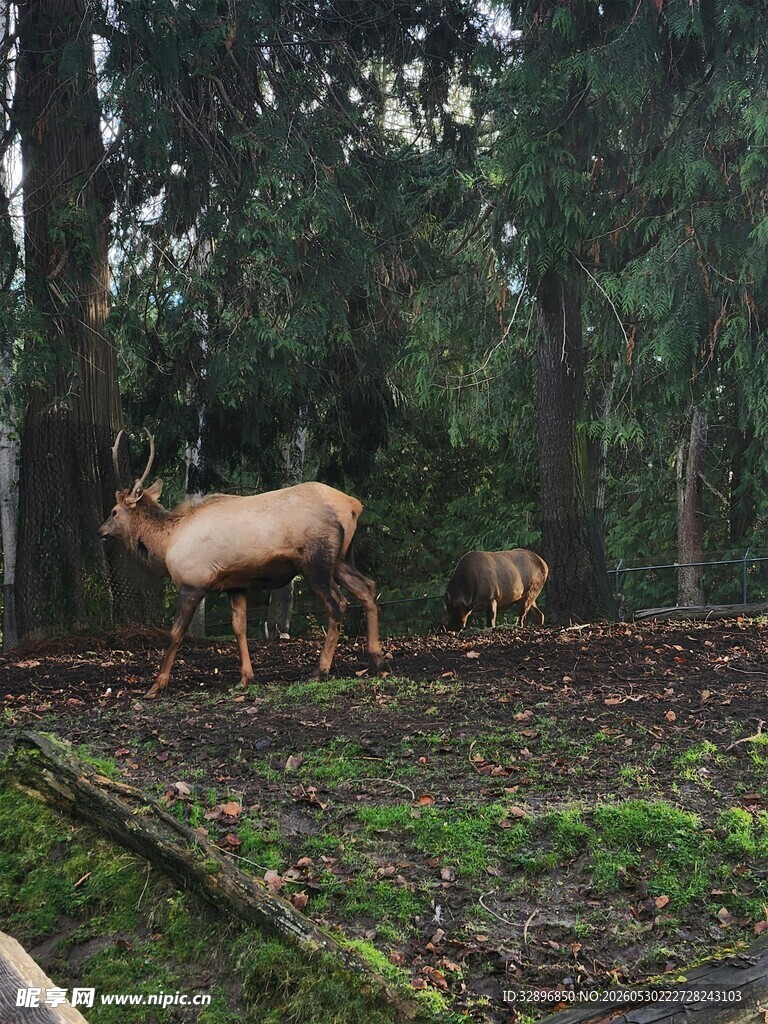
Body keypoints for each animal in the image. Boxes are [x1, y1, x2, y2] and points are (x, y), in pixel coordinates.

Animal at [99, 431, 385, 698]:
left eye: (113, 511)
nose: (101, 531)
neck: (165, 543)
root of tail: (353, 506)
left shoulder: (192, 584)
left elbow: (175, 633)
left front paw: (156, 685)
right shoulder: (235, 586)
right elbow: (240, 628)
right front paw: (246, 677)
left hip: (316, 562)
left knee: (338, 603)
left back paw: (320, 669)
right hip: (341, 559)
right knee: (368, 587)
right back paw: (377, 659)